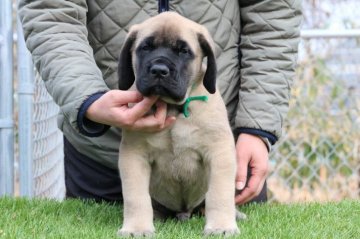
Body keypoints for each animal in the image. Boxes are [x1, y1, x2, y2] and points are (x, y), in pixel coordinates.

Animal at [117, 11, 239, 237]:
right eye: (145, 48)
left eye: (183, 51)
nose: (159, 70)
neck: (173, 108)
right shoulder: (134, 155)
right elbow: (136, 197)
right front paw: (137, 228)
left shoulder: (219, 152)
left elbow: (219, 194)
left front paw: (221, 226)